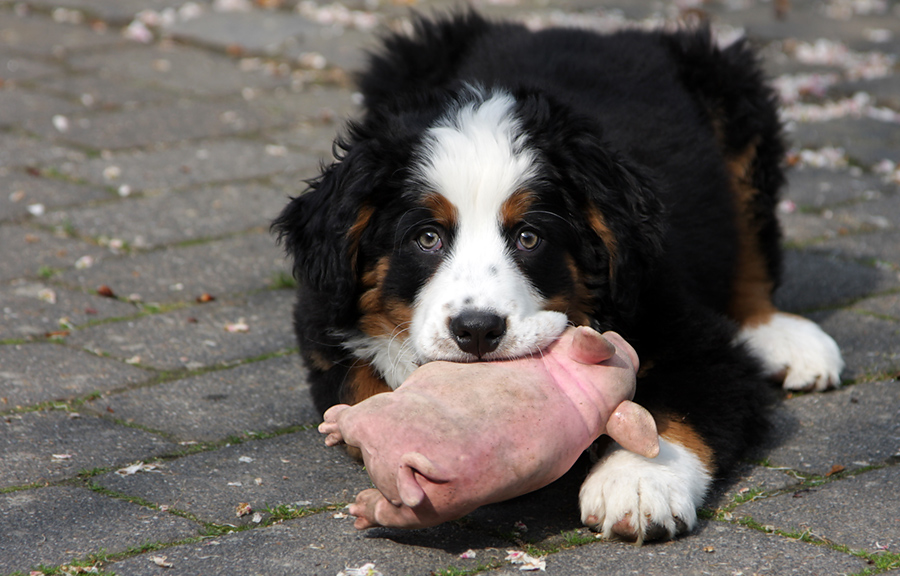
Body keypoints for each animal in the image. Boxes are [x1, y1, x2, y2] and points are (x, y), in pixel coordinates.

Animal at [272, 13, 844, 544]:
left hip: (732, 92)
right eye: (427, 238)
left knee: (752, 251)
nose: (476, 331)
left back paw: (786, 339)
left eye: (529, 237)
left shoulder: (692, 337)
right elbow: (360, 383)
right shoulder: (321, 317)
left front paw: (636, 484)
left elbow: (672, 410)